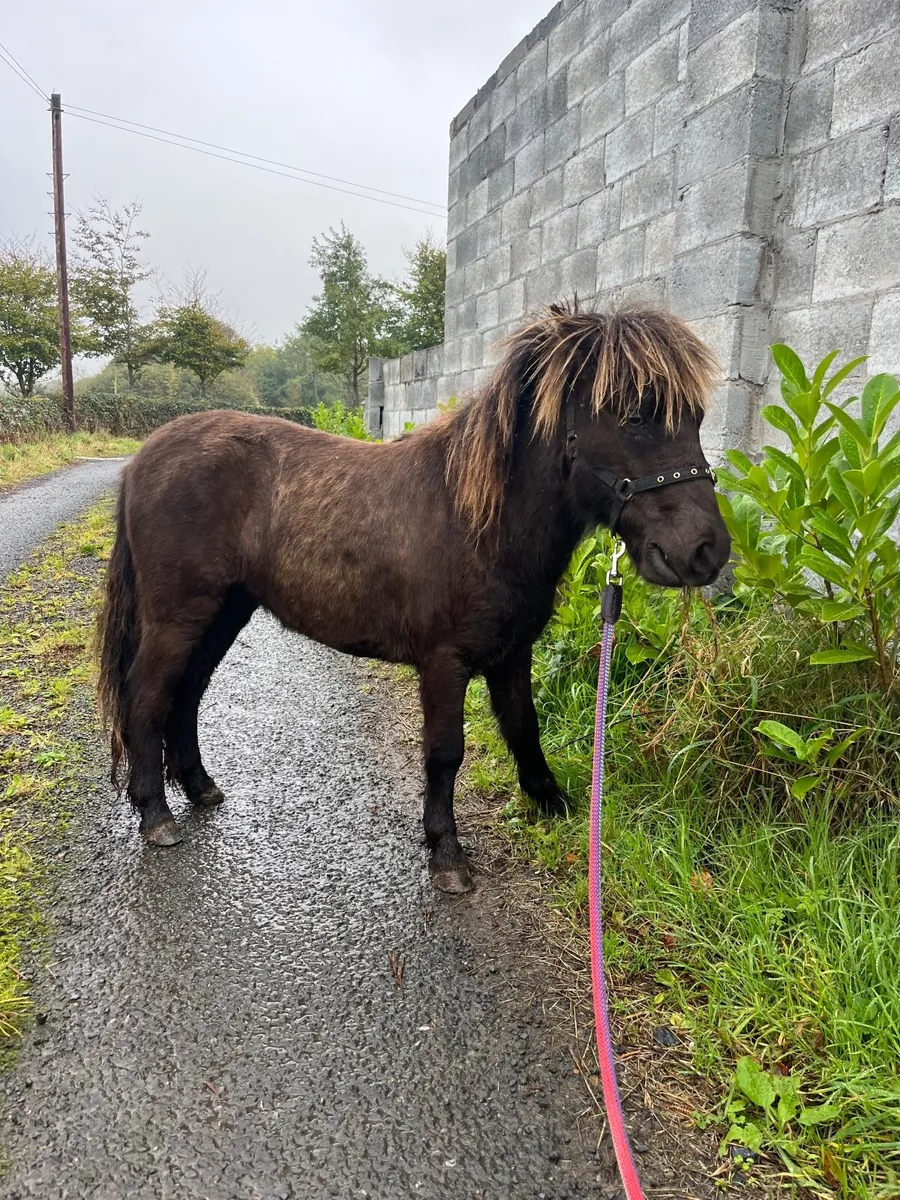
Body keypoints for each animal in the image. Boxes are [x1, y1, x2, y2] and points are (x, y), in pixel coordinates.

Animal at [97, 303, 730, 894]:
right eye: (634, 416)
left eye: (696, 416)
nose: (706, 550)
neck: (476, 519)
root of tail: (143, 458)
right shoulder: (444, 662)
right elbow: (446, 752)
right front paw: (446, 852)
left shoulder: (512, 652)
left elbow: (523, 727)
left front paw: (554, 806)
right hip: (179, 617)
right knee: (147, 696)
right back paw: (155, 816)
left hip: (224, 612)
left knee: (186, 692)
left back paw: (199, 787)